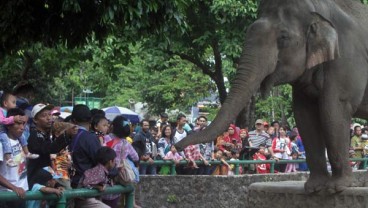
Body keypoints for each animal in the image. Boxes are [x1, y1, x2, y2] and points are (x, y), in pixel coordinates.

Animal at [175, 0, 368, 194]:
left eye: (283, 37)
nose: (177, 146)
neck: (320, 8)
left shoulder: (347, 62)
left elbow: (333, 109)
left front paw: (336, 188)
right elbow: (304, 116)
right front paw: (314, 188)